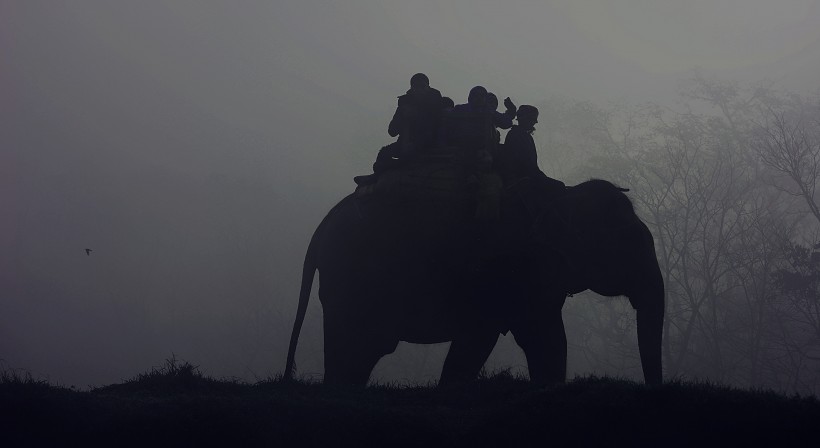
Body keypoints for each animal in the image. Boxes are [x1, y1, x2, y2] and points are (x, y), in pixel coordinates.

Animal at [286, 166, 664, 386]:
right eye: (628, 242)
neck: (565, 195)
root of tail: (321, 228)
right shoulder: (512, 270)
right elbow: (532, 336)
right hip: (354, 279)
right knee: (357, 345)